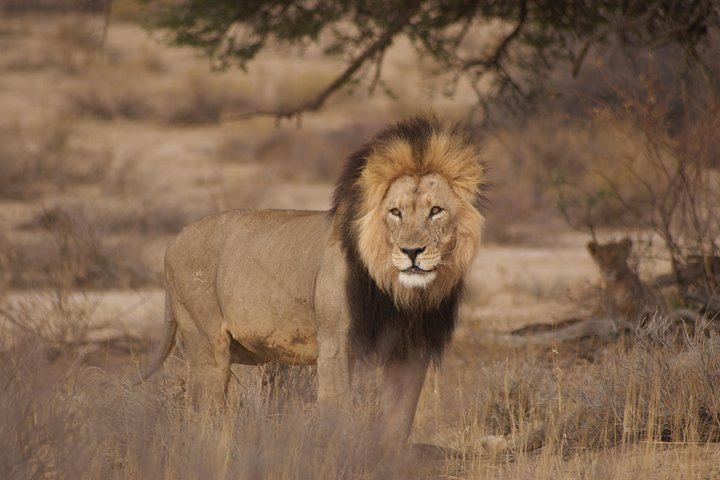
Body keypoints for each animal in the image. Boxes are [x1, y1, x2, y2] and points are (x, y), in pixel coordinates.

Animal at [138, 115, 486, 442]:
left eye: (436, 211)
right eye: (396, 212)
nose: (412, 251)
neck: (398, 293)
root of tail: (174, 241)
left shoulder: (412, 351)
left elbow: (398, 423)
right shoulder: (335, 344)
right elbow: (337, 413)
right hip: (207, 344)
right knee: (202, 415)